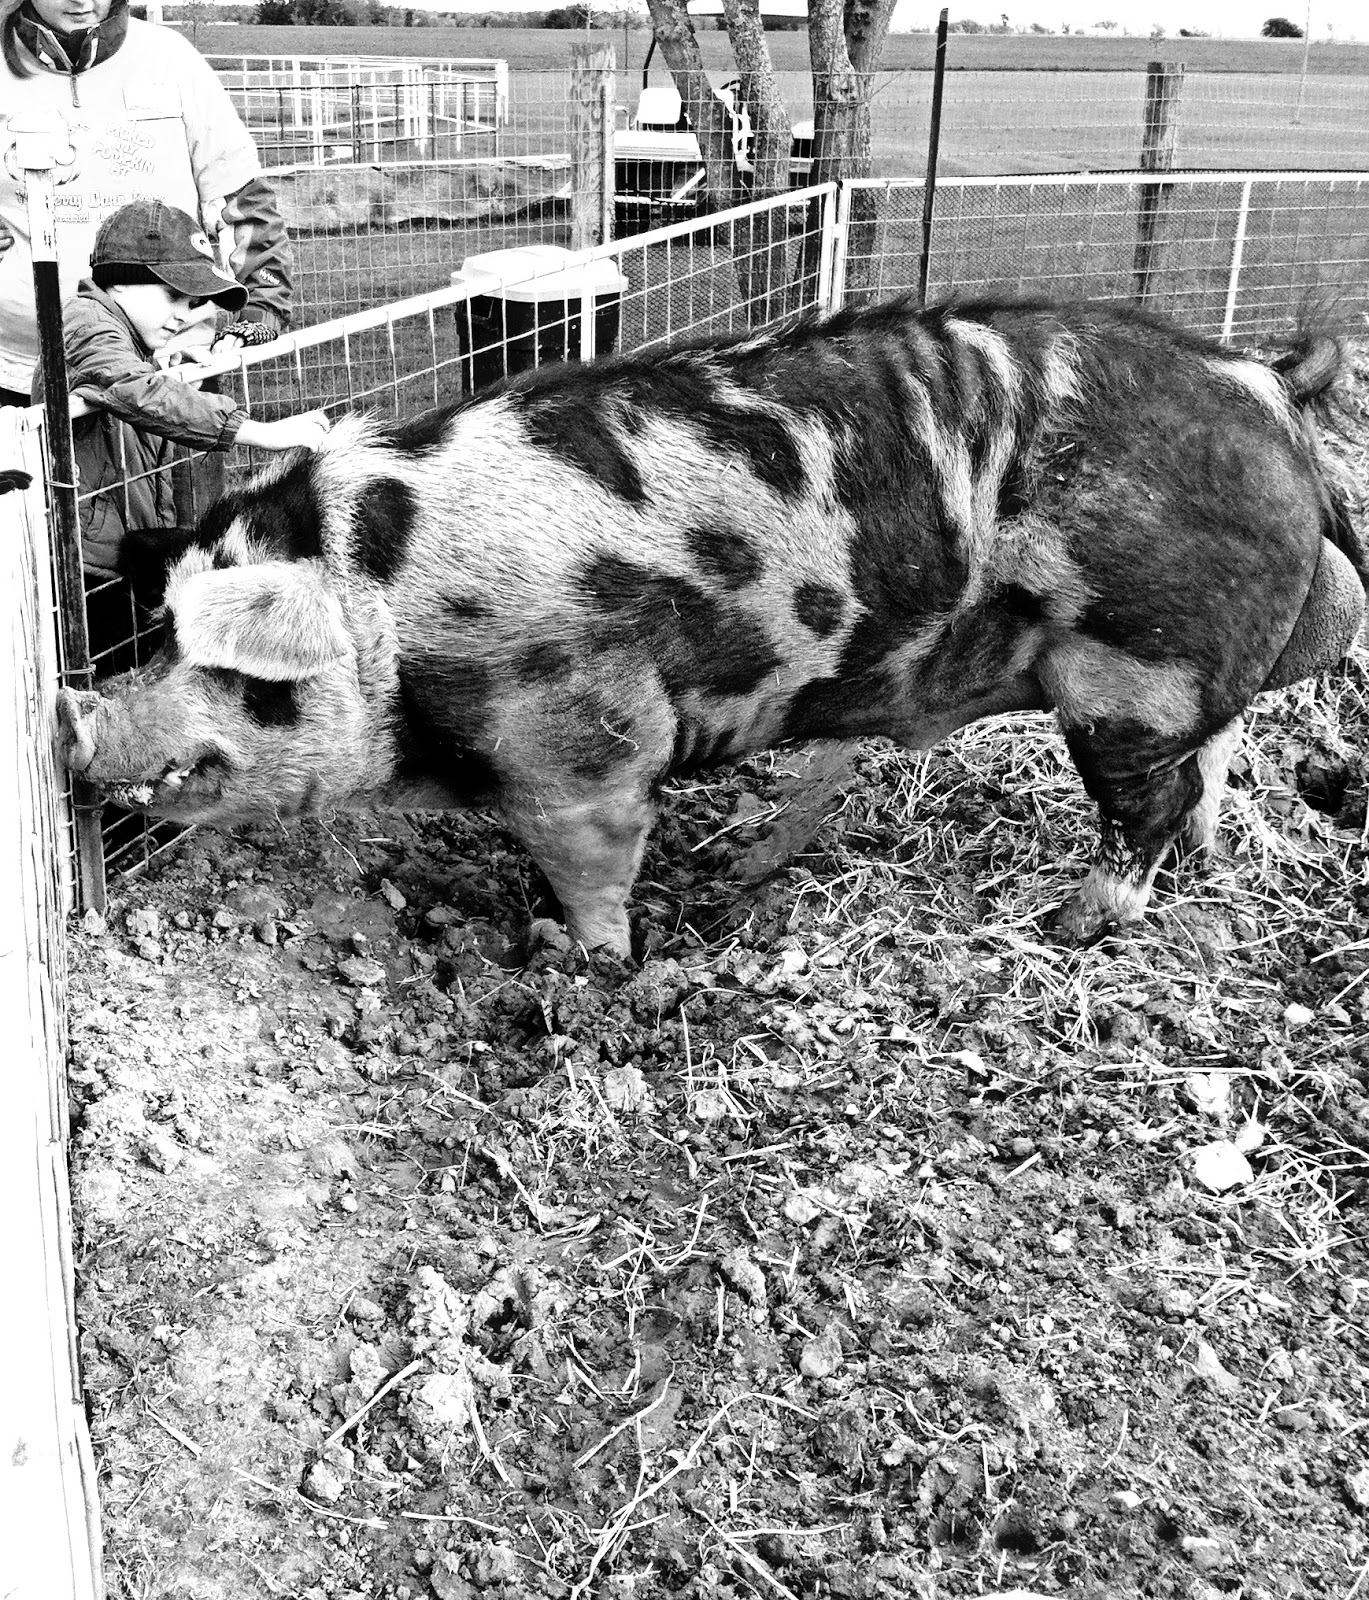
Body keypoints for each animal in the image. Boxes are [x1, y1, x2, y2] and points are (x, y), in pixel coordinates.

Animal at [56, 293, 1365, 956]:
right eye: (150, 635)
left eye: (219, 660)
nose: (73, 712)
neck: (389, 600)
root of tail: (1261, 382)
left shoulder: (580, 742)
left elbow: (592, 866)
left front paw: (580, 966)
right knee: (1209, 768)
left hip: (1133, 670)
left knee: (1145, 802)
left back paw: (1073, 922)